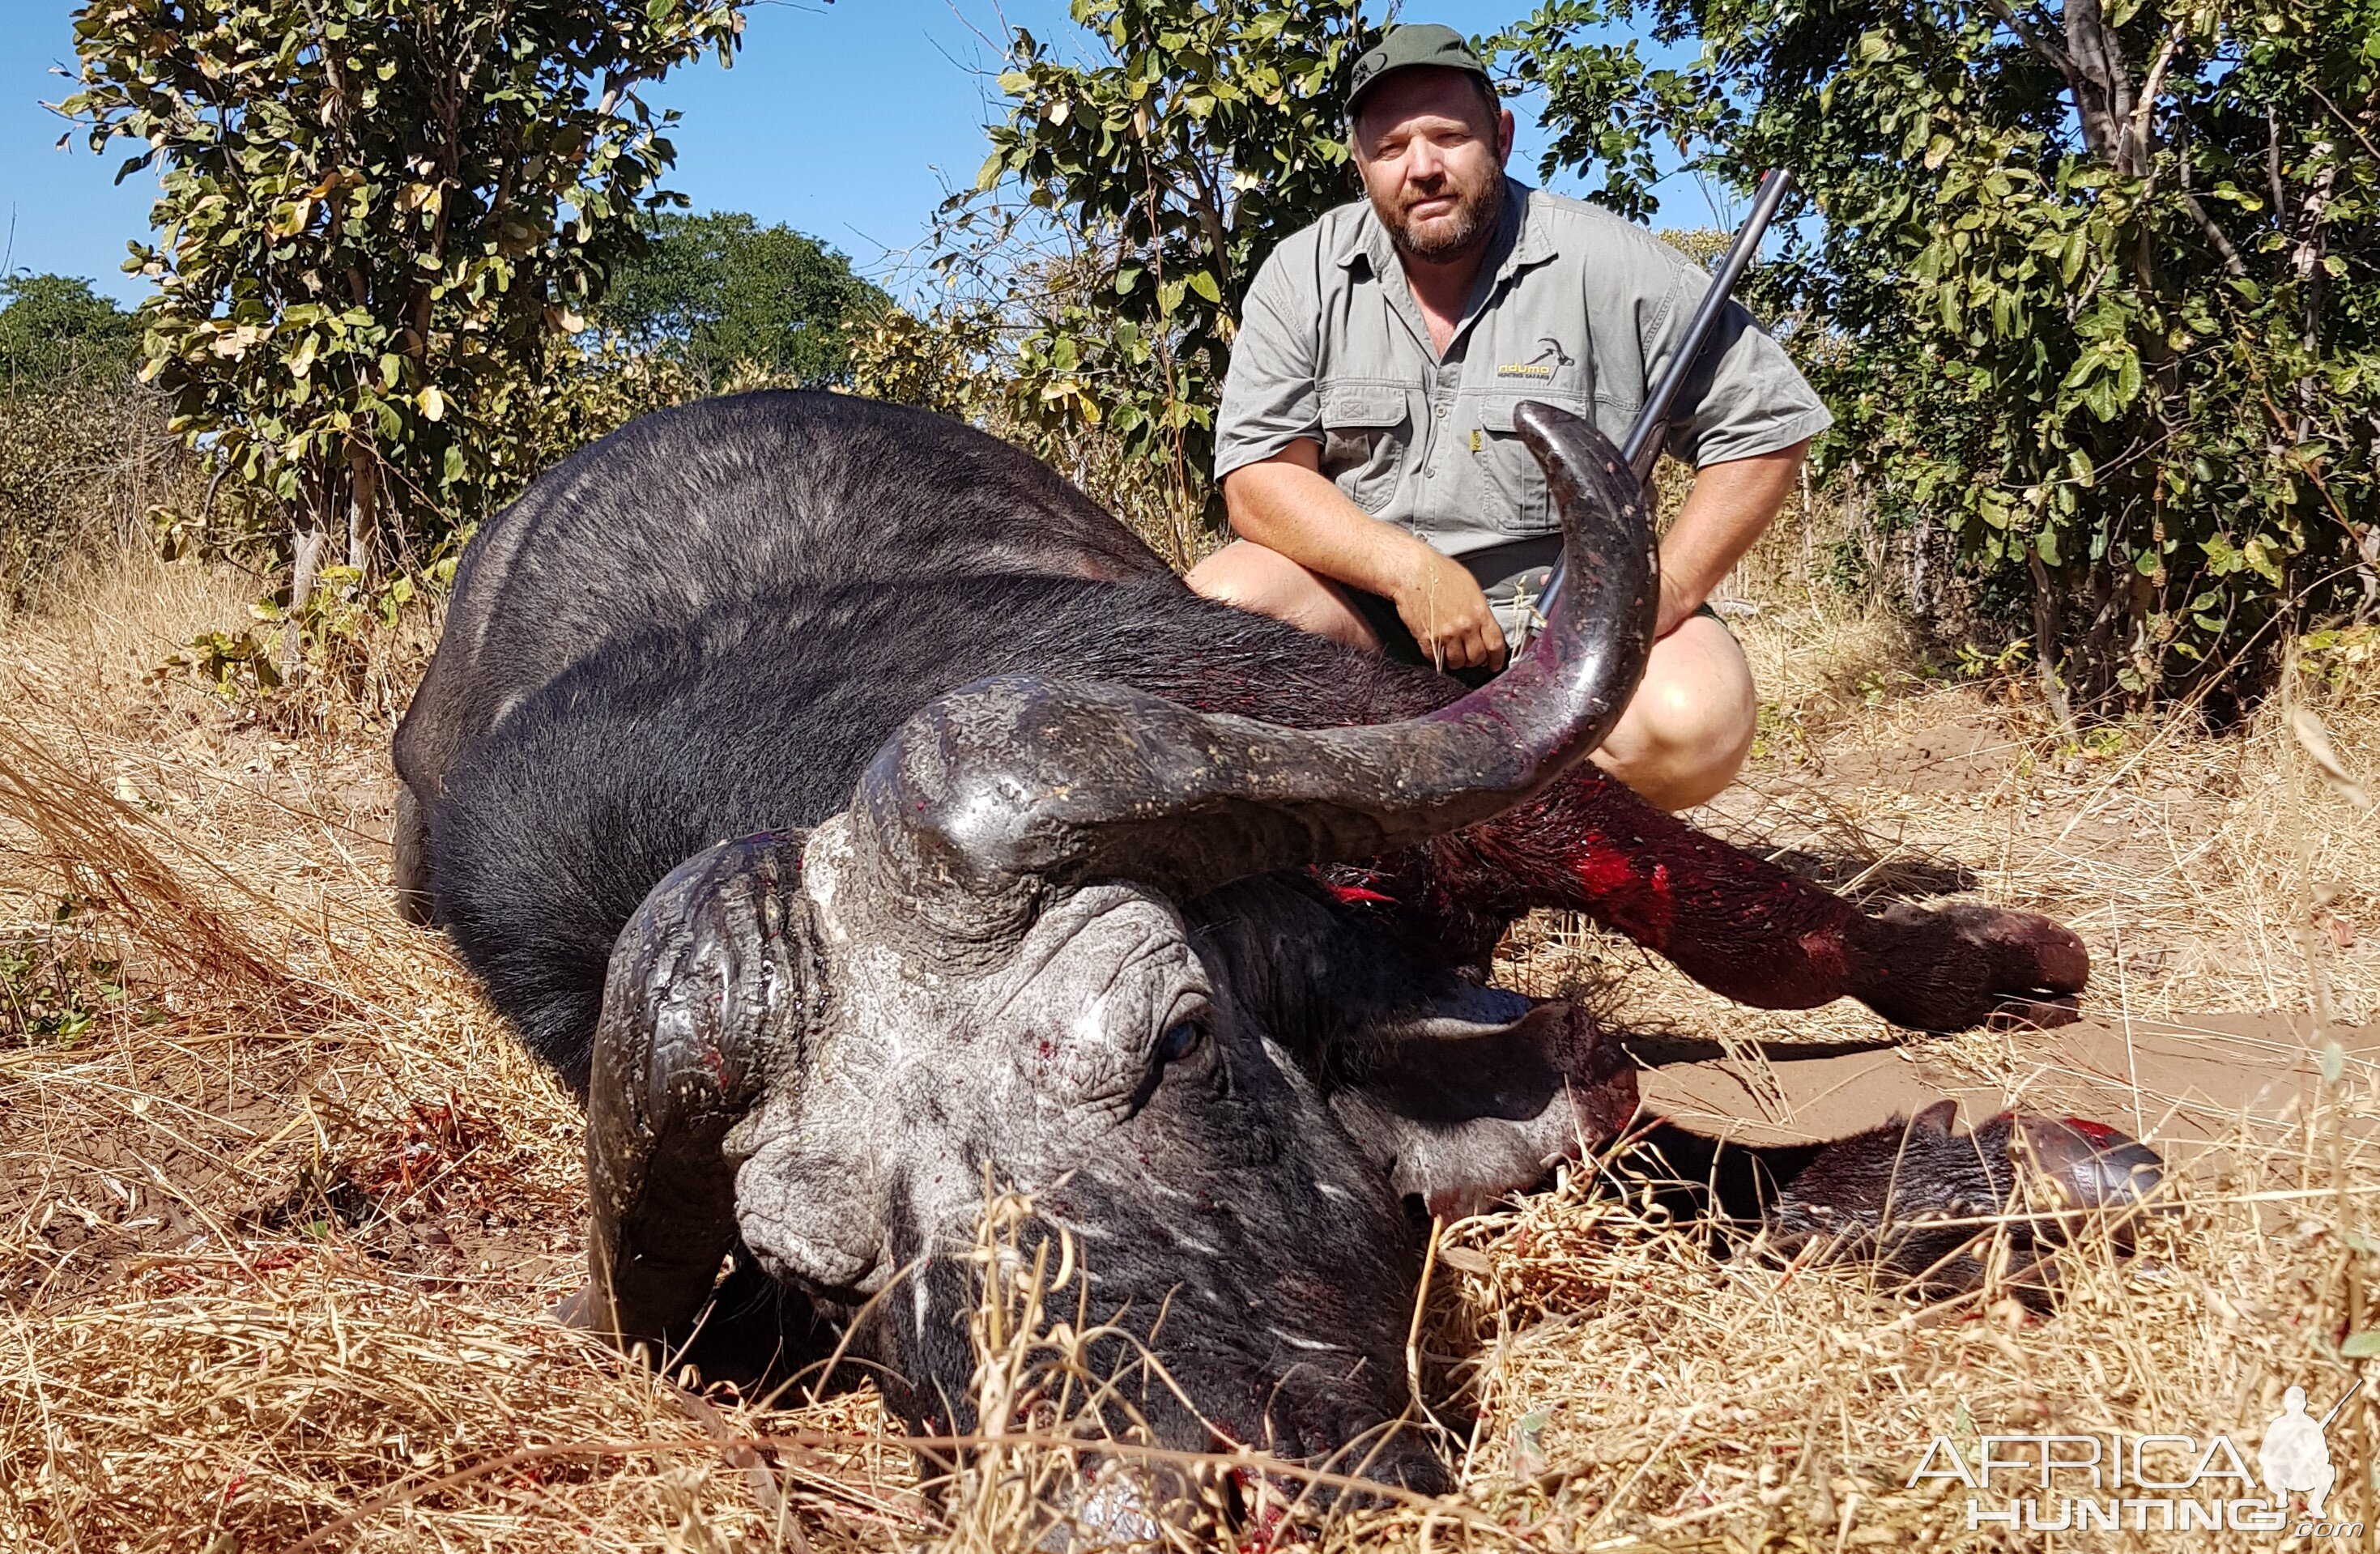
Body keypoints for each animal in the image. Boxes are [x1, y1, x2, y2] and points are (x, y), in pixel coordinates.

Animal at [394, 390, 2161, 1504]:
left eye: (1176, 1036)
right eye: (824, 1275)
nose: (1140, 1497)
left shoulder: (1390, 747)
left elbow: (1749, 926)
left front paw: (1994, 1020)